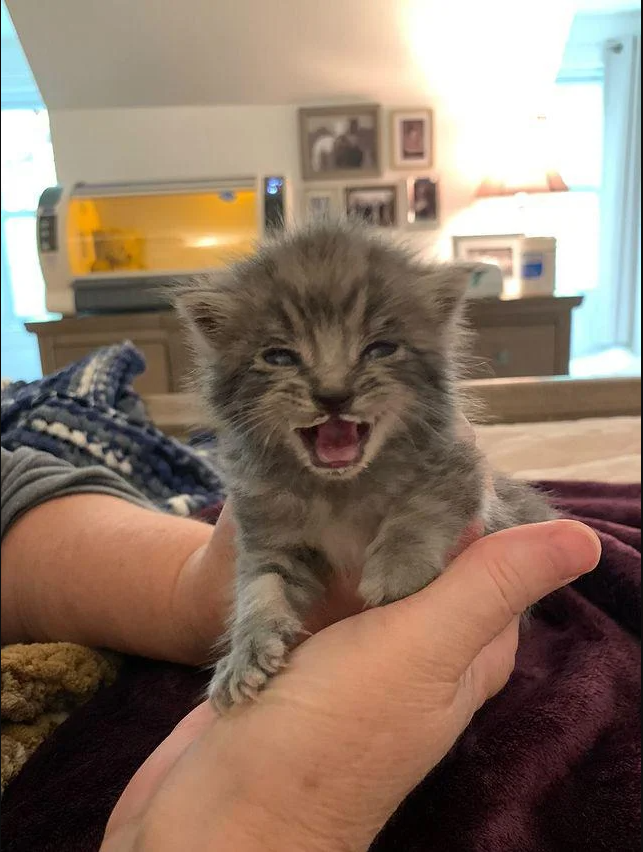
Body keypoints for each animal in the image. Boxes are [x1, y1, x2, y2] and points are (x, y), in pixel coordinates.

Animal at [174, 216, 556, 708]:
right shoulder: (266, 528)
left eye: (380, 349)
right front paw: (247, 650)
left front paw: (398, 567)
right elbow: (260, 585)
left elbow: (422, 508)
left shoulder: (459, 464)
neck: (339, 488)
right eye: (278, 356)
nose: (333, 394)